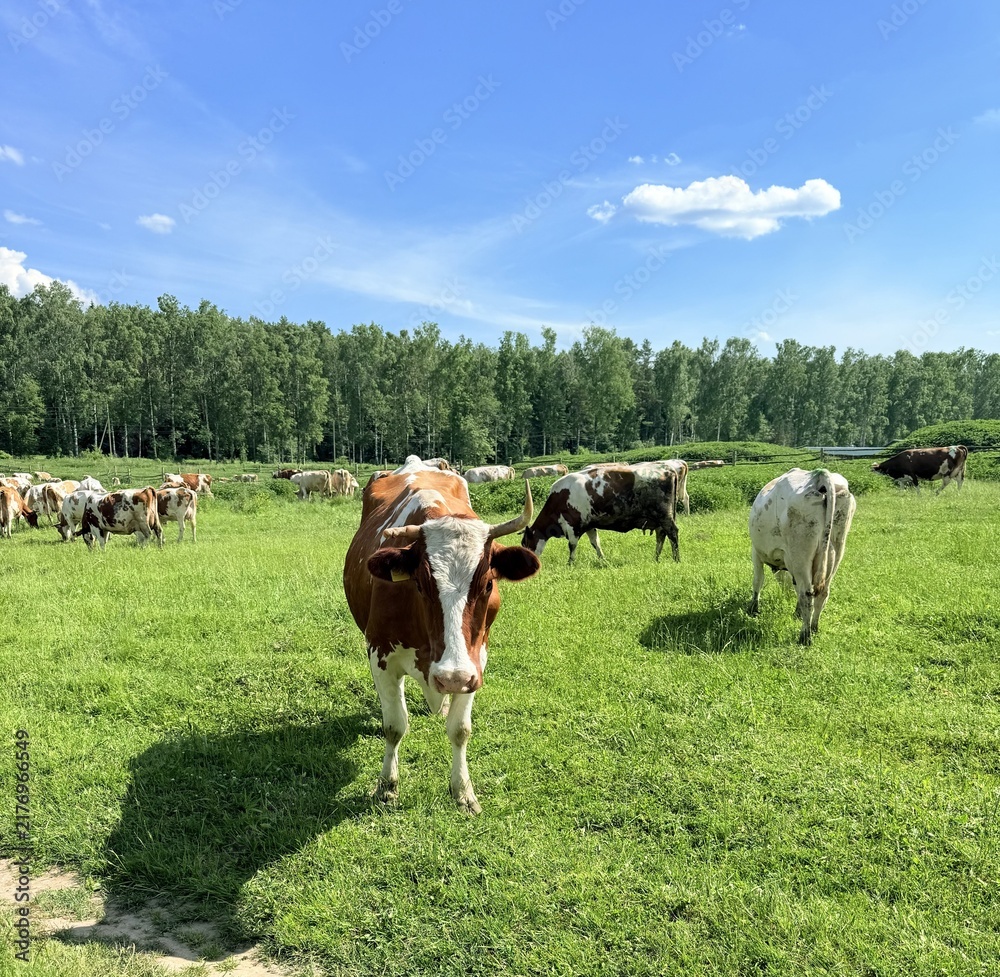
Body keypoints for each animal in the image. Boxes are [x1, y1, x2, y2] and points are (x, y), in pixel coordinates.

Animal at [343, 455, 540, 814]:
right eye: (420, 584)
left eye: (488, 584)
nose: (451, 677)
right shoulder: (379, 654)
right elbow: (394, 725)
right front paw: (386, 786)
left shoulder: (476, 661)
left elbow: (460, 730)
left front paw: (462, 790)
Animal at [522, 464, 679, 564]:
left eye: (525, 544)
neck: (560, 497)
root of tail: (668, 470)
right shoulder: (589, 525)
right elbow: (595, 543)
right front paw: (603, 560)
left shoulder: (573, 526)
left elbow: (572, 546)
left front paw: (570, 563)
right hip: (659, 519)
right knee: (661, 536)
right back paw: (656, 558)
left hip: (664, 516)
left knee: (672, 533)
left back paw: (676, 559)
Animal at [748, 468, 856, 646]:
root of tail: (818, 476)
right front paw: (796, 612)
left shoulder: (756, 552)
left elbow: (758, 581)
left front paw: (753, 608)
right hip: (836, 551)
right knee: (822, 593)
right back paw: (814, 628)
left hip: (800, 556)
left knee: (807, 595)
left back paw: (805, 636)